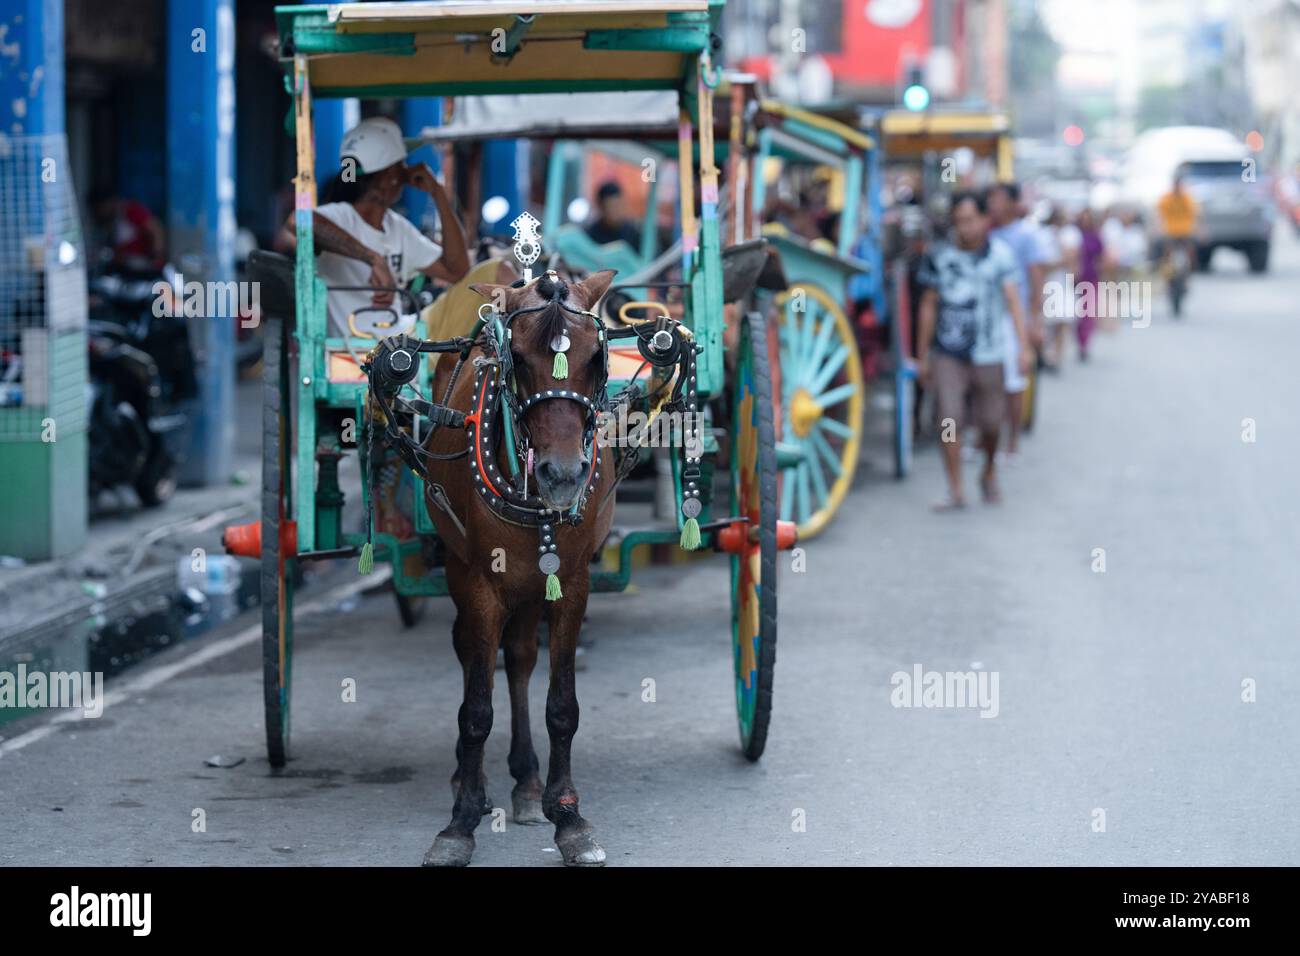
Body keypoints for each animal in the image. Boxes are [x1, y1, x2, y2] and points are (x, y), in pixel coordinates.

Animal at [416, 269, 618, 868]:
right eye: (519, 360)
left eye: (596, 357)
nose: (562, 476)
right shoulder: (478, 582)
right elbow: (476, 709)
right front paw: (459, 824)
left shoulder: (569, 581)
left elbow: (561, 705)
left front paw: (568, 817)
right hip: (465, 570)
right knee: (472, 654)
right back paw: (474, 781)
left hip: (532, 583)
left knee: (523, 657)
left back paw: (527, 783)